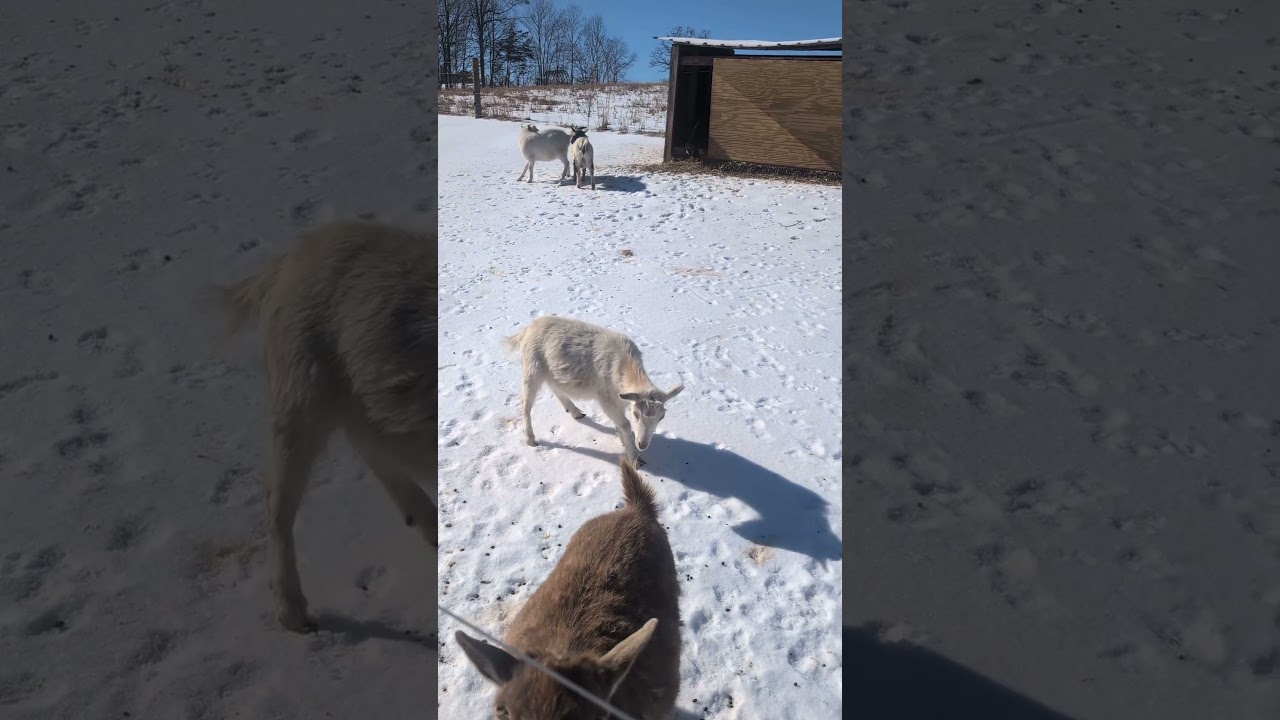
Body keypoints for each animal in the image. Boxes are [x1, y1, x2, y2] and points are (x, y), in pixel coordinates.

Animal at [210, 219, 437, 633]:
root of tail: (285, 262)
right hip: (301, 389)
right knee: (278, 499)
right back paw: (294, 613)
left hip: (354, 395)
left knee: (369, 442)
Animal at [505, 315, 683, 466]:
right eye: (636, 414)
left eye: (661, 417)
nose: (643, 444)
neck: (624, 366)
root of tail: (528, 328)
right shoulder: (607, 400)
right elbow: (625, 425)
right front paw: (634, 458)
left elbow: (621, 425)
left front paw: (624, 442)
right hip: (532, 368)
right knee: (526, 404)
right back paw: (530, 438)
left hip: (552, 372)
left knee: (556, 389)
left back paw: (575, 412)